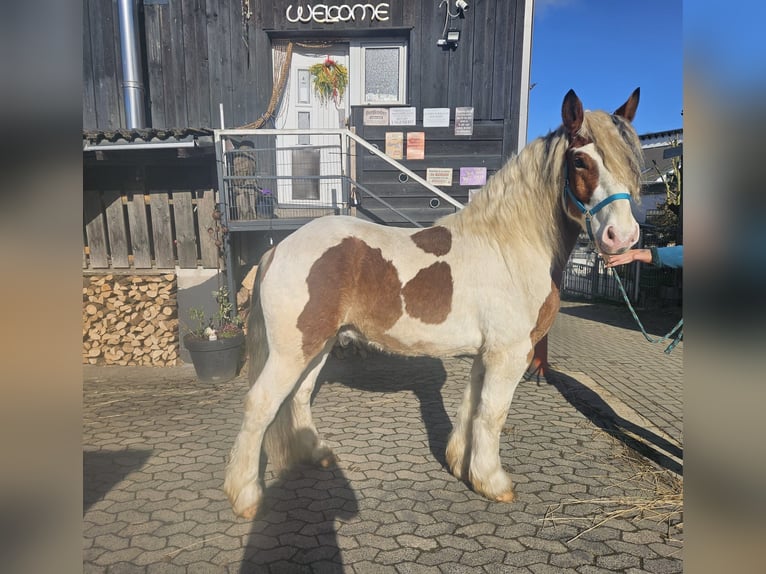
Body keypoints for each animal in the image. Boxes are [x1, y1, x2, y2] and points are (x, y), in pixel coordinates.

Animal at [224, 88, 643, 518]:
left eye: (630, 162)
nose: (622, 237)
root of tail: (280, 248)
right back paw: (246, 497)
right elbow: (493, 414)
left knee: (299, 397)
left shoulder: (486, 354)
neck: (510, 243)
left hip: (317, 346)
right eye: (581, 160)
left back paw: (314, 454)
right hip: (293, 350)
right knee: (260, 404)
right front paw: (493, 482)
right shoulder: (509, 354)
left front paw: (461, 465)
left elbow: (471, 407)